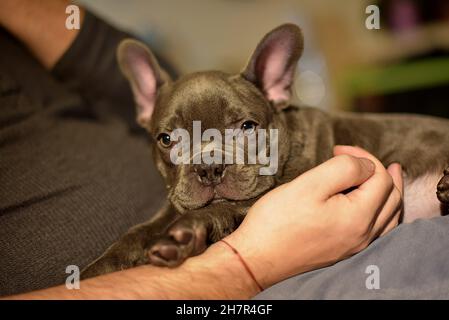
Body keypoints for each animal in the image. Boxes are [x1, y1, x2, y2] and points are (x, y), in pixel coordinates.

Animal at [80, 23, 448, 278]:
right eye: (167, 139)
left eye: (247, 127)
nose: (209, 166)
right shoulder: (169, 206)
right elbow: (137, 231)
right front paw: (99, 268)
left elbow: (230, 206)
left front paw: (183, 236)